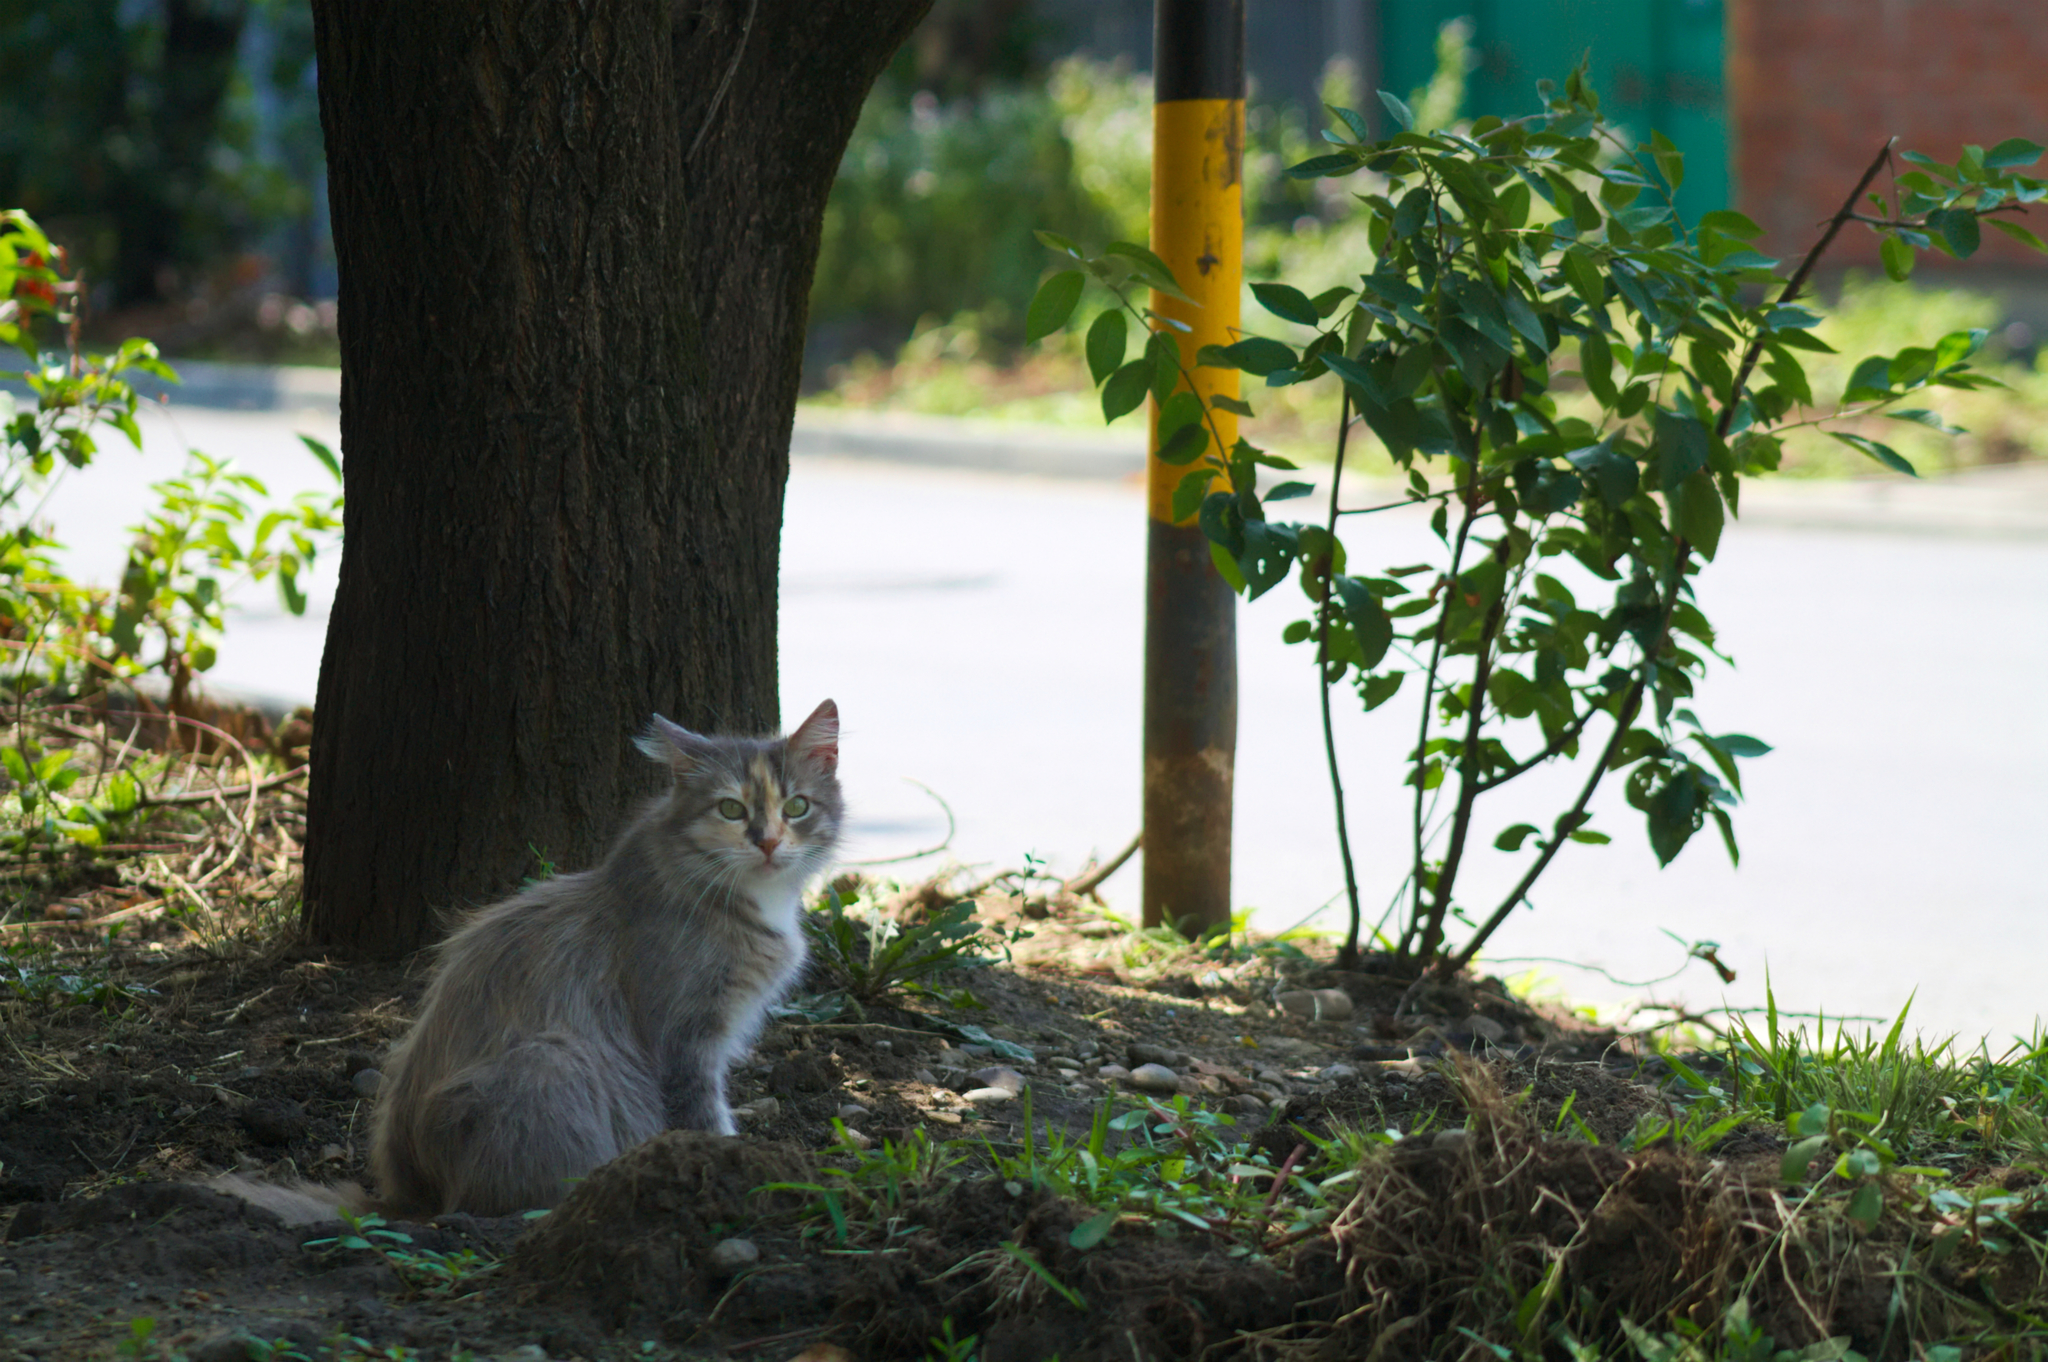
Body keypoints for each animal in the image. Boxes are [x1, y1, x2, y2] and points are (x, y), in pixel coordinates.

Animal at [214, 700, 839, 1220]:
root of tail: (405, 1198)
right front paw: (739, 1167)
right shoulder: (684, 1040)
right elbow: (705, 1118)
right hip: (551, 1057)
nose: (768, 841)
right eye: (731, 809)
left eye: (797, 807)